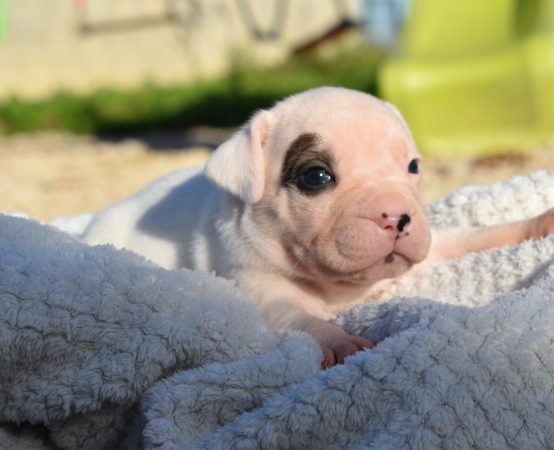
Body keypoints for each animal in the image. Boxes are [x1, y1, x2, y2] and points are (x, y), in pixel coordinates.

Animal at [83, 86, 552, 368]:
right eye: (316, 176)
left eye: (413, 167)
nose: (397, 215)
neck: (340, 287)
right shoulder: (258, 288)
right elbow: (299, 318)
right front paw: (343, 342)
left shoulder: (432, 248)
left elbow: (472, 237)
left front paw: (537, 224)